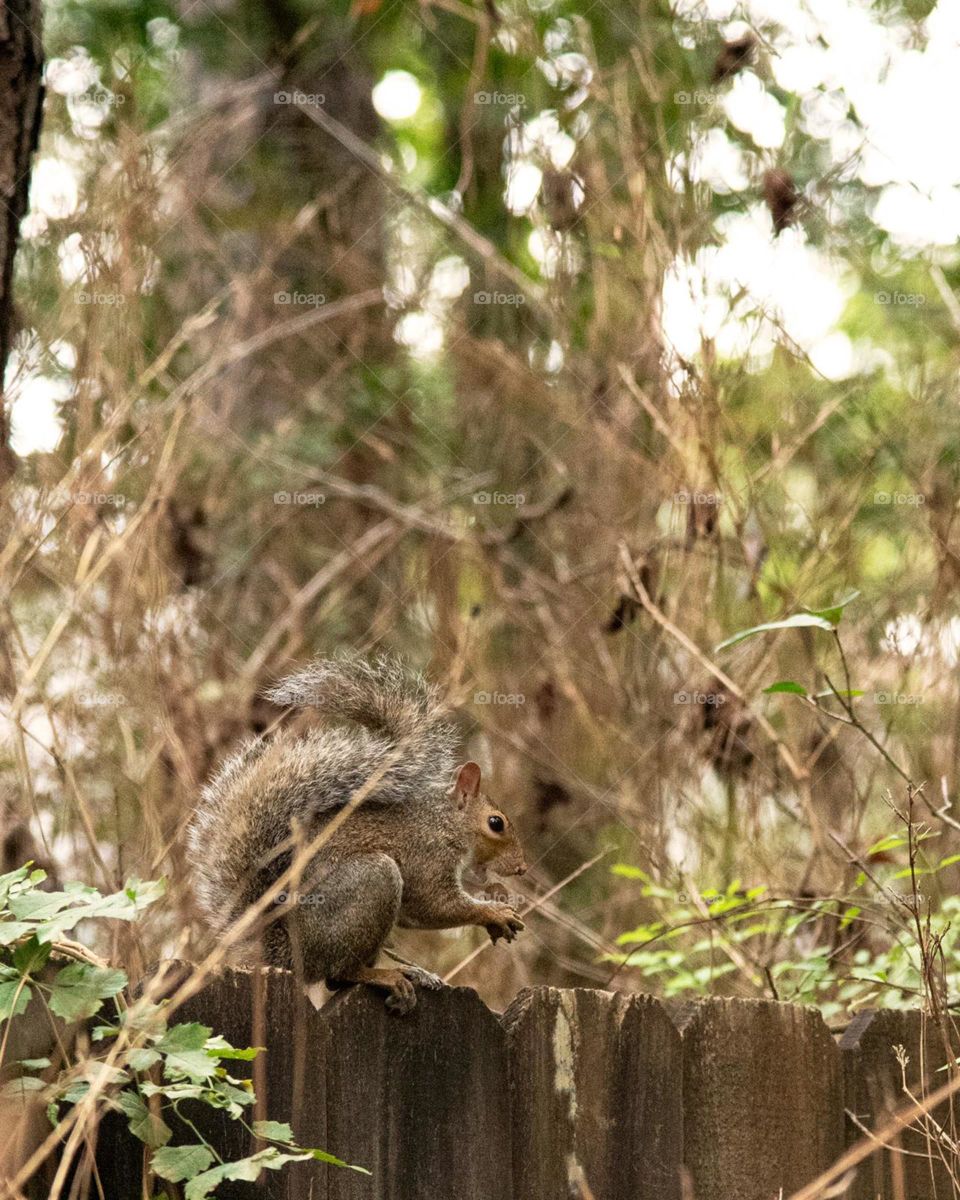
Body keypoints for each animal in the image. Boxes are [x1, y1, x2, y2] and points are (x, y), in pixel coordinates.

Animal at [186, 655, 527, 1013]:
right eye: (496, 823)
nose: (521, 868)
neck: (444, 822)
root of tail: (285, 955)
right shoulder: (426, 854)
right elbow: (435, 904)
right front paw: (494, 912)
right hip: (371, 880)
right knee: (338, 974)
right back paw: (386, 976)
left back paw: (413, 973)